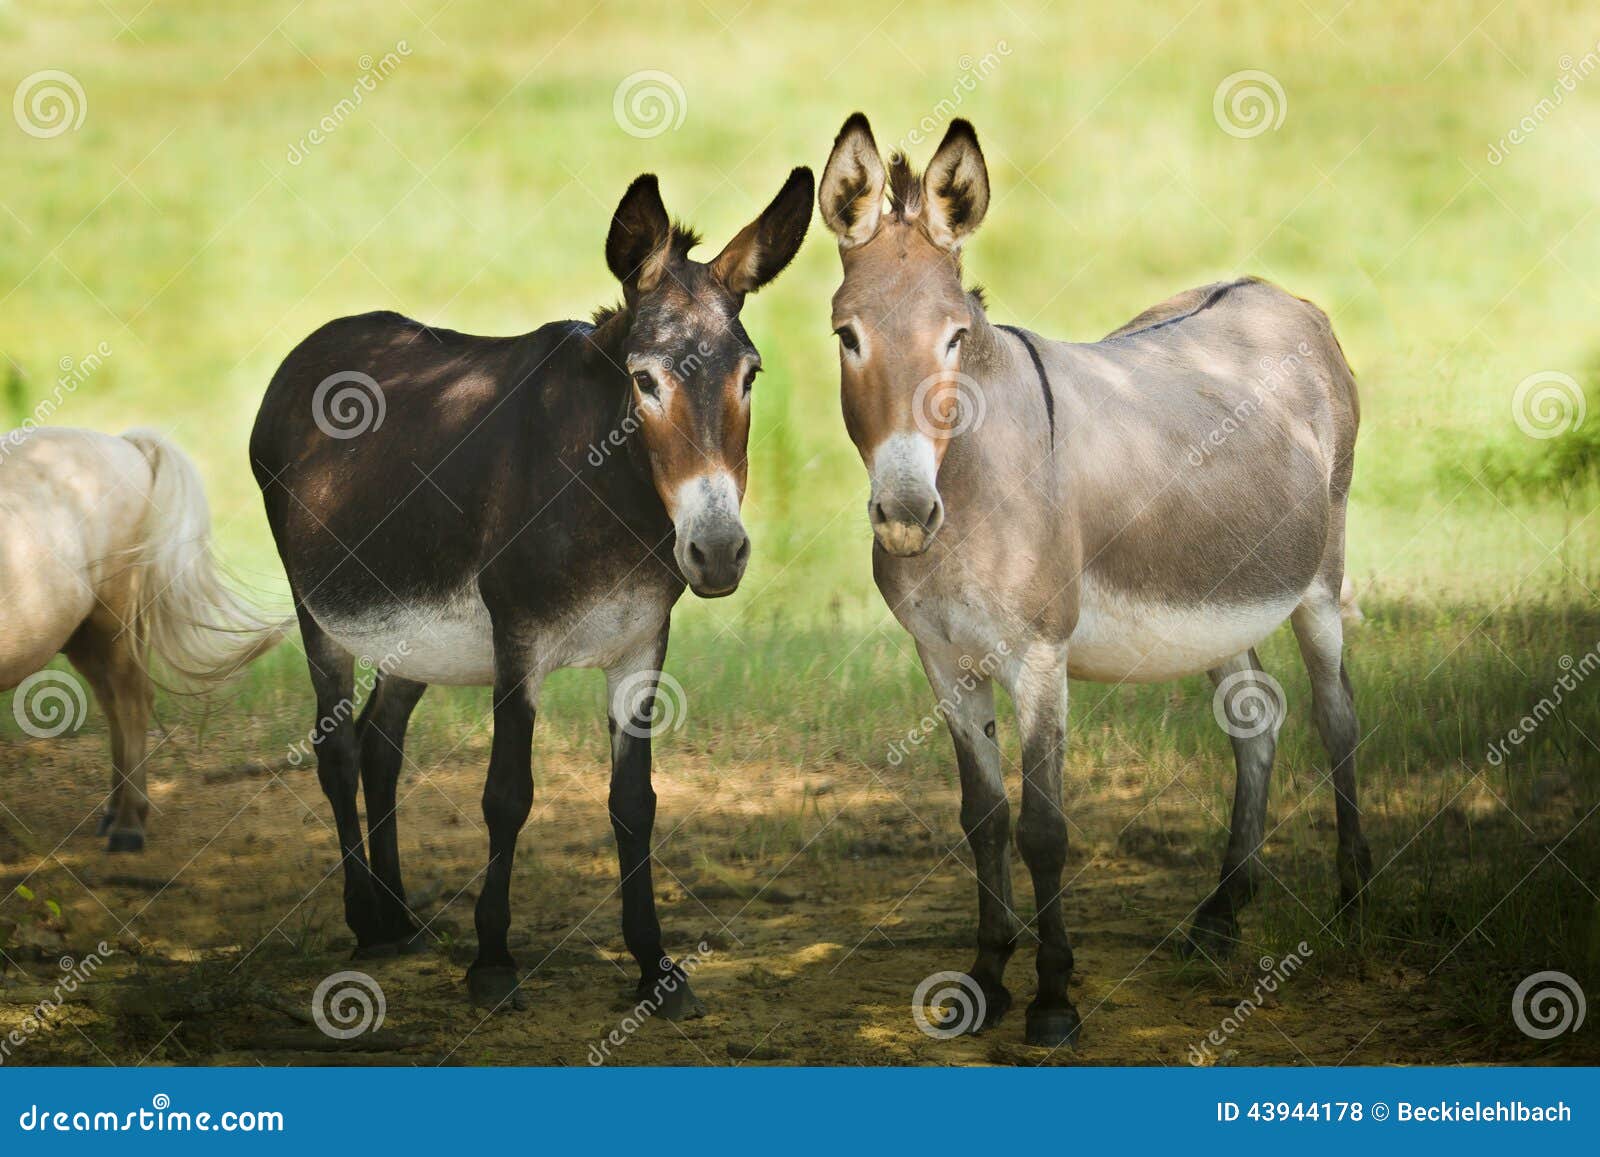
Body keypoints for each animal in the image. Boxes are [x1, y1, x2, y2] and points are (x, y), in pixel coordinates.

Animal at [1, 425, 288, 851]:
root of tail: (124, 445)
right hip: (83, 633)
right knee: (114, 705)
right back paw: (116, 810)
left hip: (113, 619)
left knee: (130, 703)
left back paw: (127, 826)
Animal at [256, 164, 819, 1011]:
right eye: (644, 381)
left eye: (750, 377)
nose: (718, 553)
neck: (607, 490)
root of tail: (321, 339)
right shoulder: (516, 640)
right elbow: (507, 793)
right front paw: (493, 961)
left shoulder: (641, 645)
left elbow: (635, 802)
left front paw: (654, 965)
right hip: (320, 613)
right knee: (338, 751)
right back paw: (365, 919)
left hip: (414, 635)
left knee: (381, 742)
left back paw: (398, 919)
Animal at [819, 117, 1369, 1049]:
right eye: (846, 337)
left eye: (955, 337)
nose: (904, 513)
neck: (971, 478)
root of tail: (1271, 291)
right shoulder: (944, 659)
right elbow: (983, 815)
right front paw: (985, 980)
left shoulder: (1040, 656)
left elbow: (1044, 825)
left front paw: (1052, 999)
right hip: (1212, 600)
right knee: (1258, 722)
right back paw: (1220, 915)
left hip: (1318, 582)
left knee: (1337, 720)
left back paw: (1356, 901)